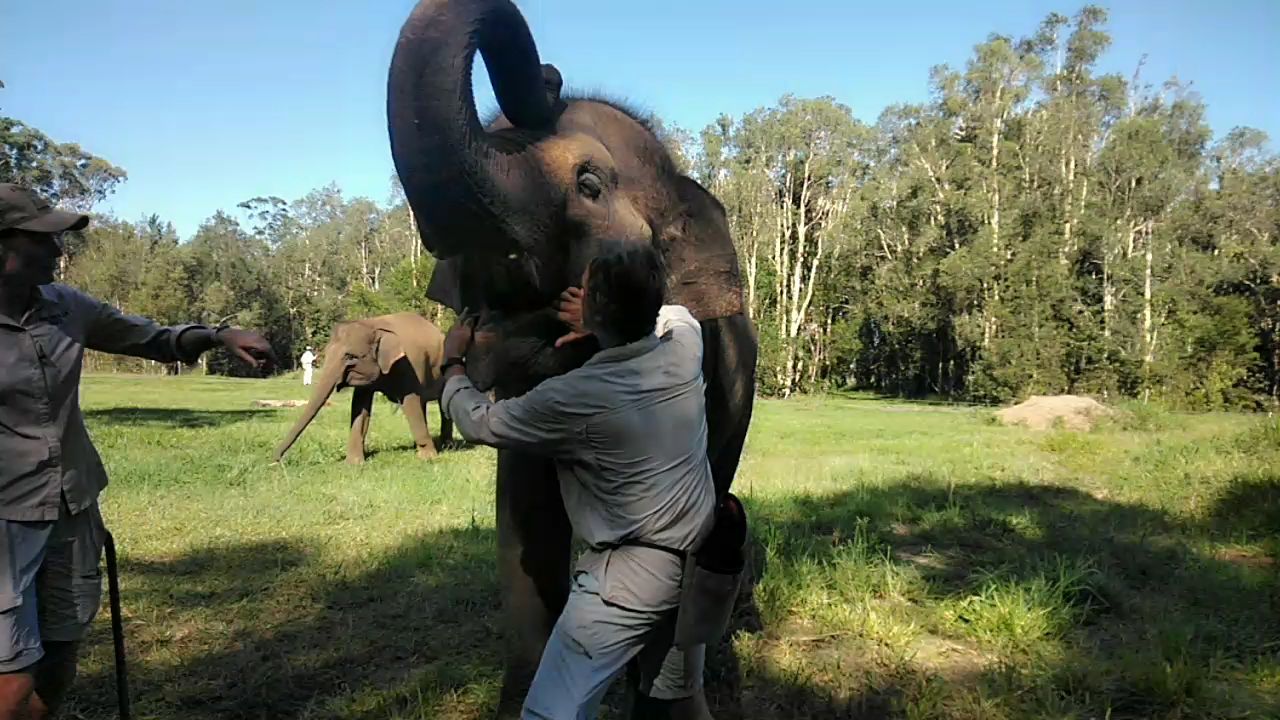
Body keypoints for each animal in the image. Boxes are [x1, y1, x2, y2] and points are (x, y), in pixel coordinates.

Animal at [272, 312, 453, 464]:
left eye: (351, 357)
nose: (276, 460)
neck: (374, 325)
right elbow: (360, 406)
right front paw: (354, 463)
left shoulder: (409, 365)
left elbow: (410, 402)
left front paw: (428, 458)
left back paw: (446, 445)